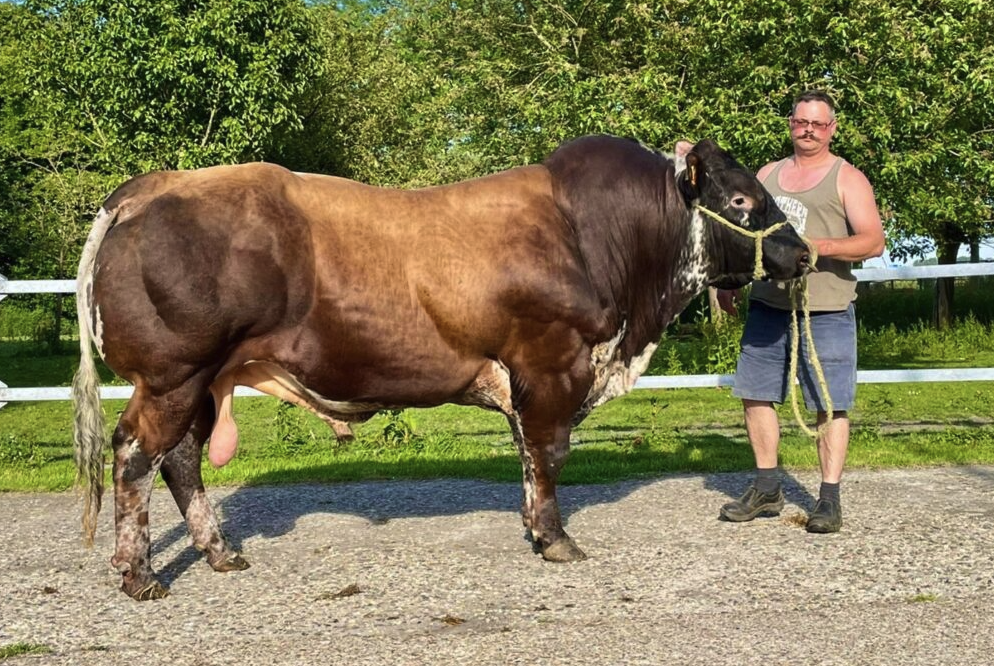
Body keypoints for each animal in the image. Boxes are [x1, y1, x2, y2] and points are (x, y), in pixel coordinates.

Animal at [73, 135, 808, 596]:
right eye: (742, 202)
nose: (802, 254)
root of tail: (153, 186)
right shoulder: (552, 364)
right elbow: (549, 453)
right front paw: (556, 539)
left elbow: (528, 456)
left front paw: (533, 528)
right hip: (173, 374)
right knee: (136, 456)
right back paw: (140, 575)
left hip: (202, 380)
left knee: (182, 458)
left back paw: (221, 553)